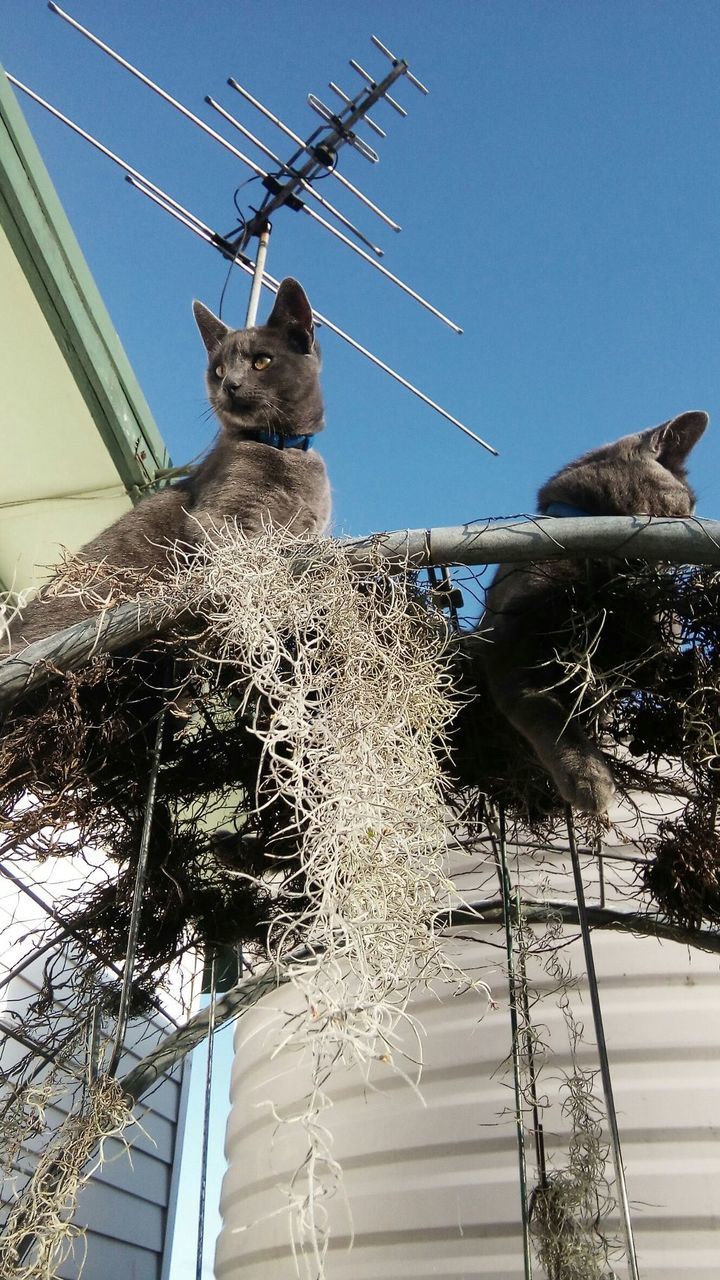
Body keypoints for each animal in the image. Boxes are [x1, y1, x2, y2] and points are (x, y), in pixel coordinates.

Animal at [9, 273, 330, 645]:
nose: (230, 384)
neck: (281, 446)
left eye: (261, 361)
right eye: (219, 369)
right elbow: (246, 554)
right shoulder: (218, 518)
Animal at [474, 409, 702, 808]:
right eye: (686, 505)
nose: (693, 519)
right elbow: (547, 713)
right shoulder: (512, 652)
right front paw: (588, 778)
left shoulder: (651, 646)